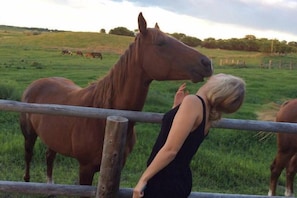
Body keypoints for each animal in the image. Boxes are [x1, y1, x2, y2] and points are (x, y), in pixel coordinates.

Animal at [19, 12, 213, 187]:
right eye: (161, 43)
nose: (207, 63)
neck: (104, 116)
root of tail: (35, 84)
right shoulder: (85, 168)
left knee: (49, 156)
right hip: (29, 135)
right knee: (28, 156)